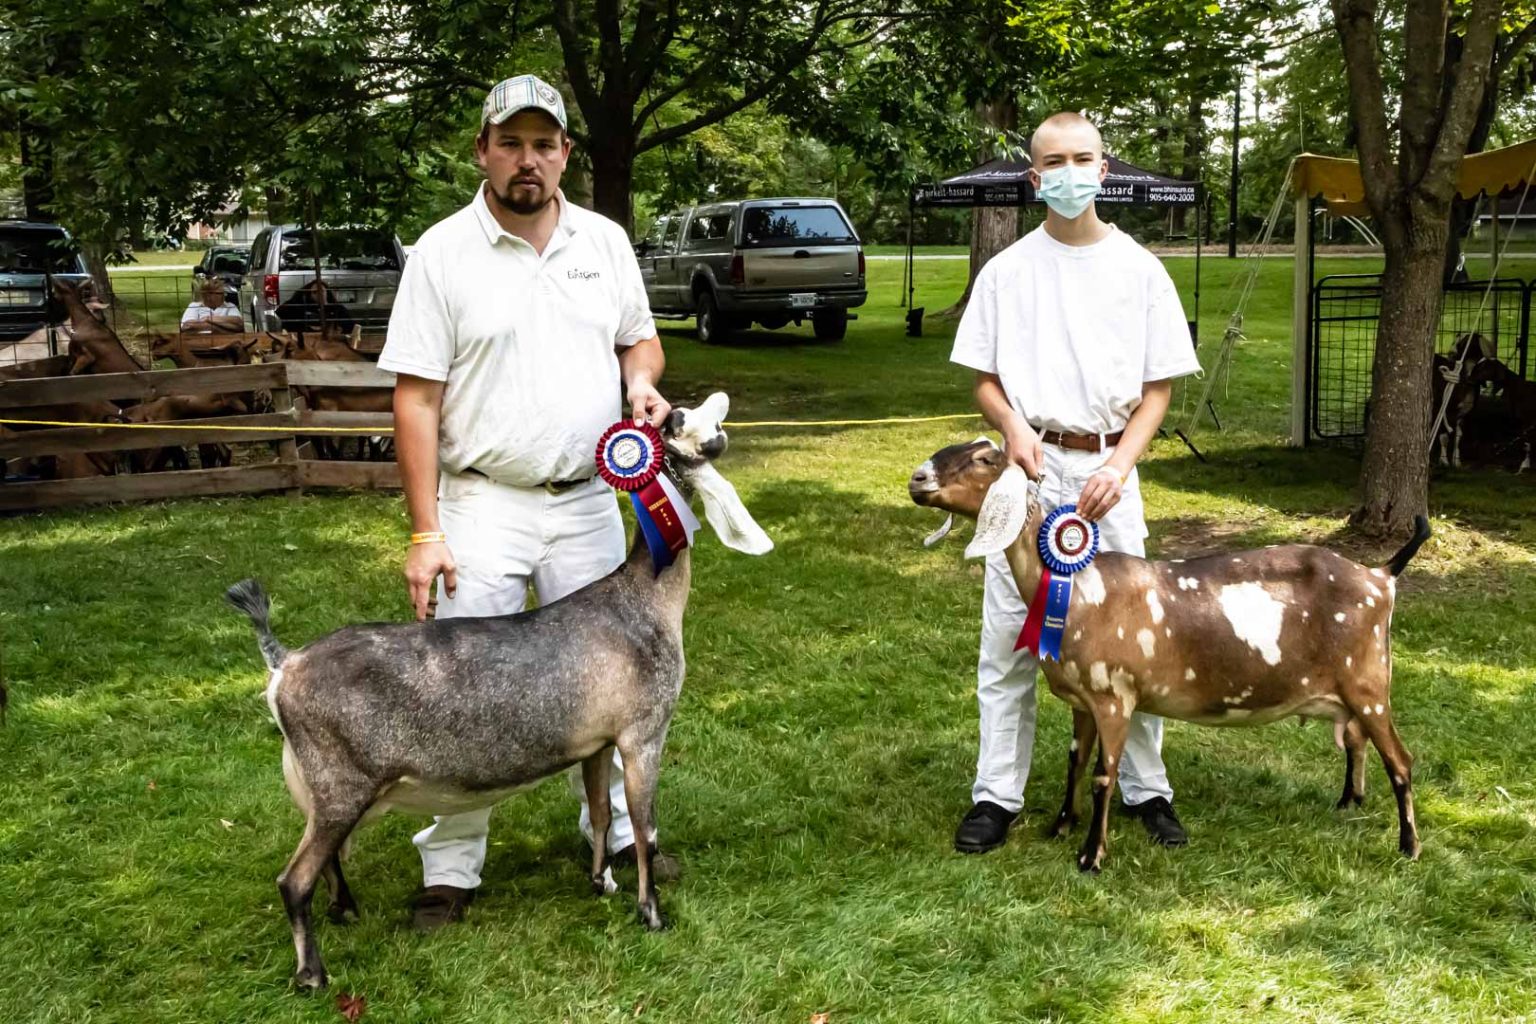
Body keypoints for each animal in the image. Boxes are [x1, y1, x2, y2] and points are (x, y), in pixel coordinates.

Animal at [225, 396, 768, 994]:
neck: (643, 598)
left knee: (324, 858)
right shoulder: (643, 732)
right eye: (687, 423)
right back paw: (312, 974)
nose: (707, 407)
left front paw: (600, 883)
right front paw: (651, 914)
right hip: (342, 782)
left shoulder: (599, 742)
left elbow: (603, 811)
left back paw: (345, 909)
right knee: (293, 878)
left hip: (329, 790)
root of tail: (284, 664)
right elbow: (645, 828)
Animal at [903, 442, 1431, 872]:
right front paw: (1060, 827)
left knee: (1401, 761)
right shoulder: (1083, 700)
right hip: (1349, 692)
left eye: (984, 458)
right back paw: (1348, 803)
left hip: (1370, 684)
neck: (1079, 589)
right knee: (1357, 742)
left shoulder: (1115, 698)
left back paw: (1408, 847)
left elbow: (1103, 775)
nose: (918, 479)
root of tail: (1381, 577)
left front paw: (1091, 856)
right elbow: (1076, 761)